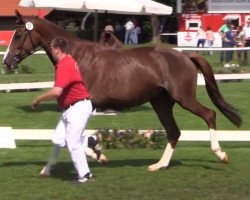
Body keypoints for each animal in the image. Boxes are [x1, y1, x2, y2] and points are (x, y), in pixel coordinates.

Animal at [1, 11, 241, 173]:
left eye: (19, 34)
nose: (7, 61)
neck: (76, 58)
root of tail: (184, 55)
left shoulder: (87, 103)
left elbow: (75, 139)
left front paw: (97, 154)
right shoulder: (72, 106)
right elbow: (63, 138)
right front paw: (48, 169)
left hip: (184, 98)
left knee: (209, 115)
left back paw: (221, 155)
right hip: (161, 103)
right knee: (174, 132)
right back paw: (158, 165)